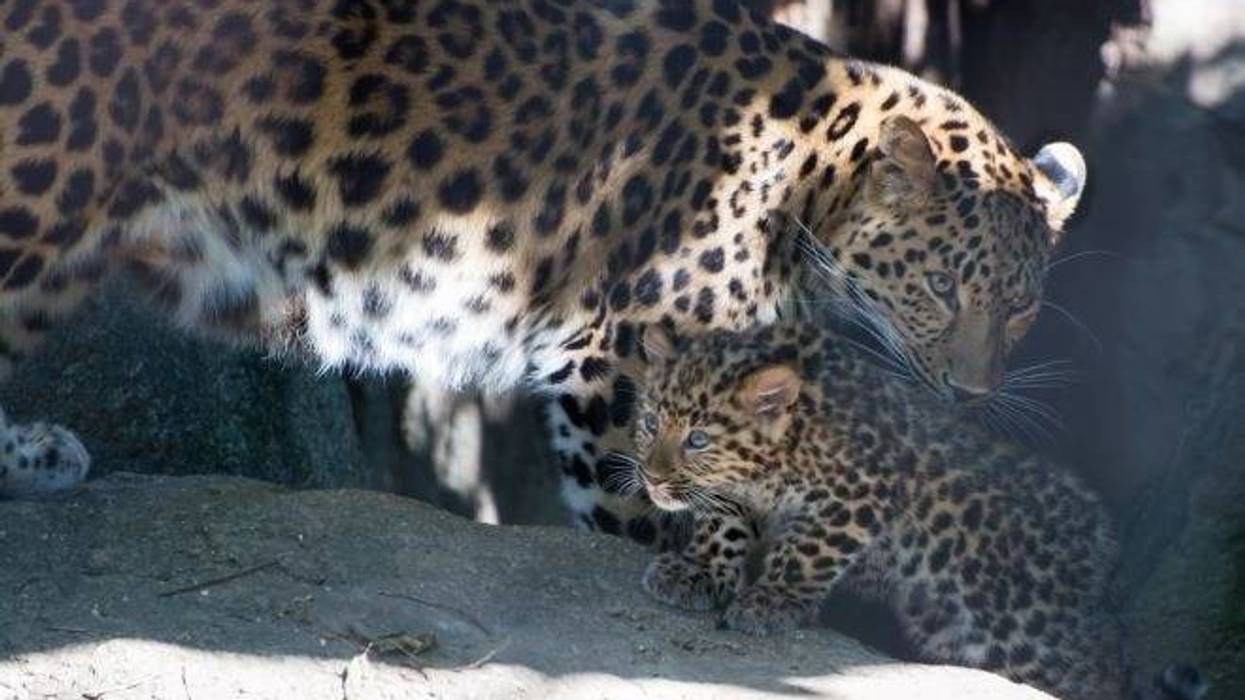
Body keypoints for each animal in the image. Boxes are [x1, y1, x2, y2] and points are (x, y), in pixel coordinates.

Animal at [0, 0, 1086, 541]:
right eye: (942, 289)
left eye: (1022, 308)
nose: (974, 393)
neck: (803, 182)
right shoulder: (620, 363)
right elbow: (641, 507)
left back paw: (38, 455)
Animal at [622, 322, 1206, 700]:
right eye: (650, 422)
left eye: (698, 440)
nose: (651, 477)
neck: (792, 441)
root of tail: (1105, 549)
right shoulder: (734, 494)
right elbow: (721, 525)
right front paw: (696, 571)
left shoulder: (860, 492)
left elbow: (808, 550)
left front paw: (772, 600)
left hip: (1033, 632)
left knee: (1103, 672)